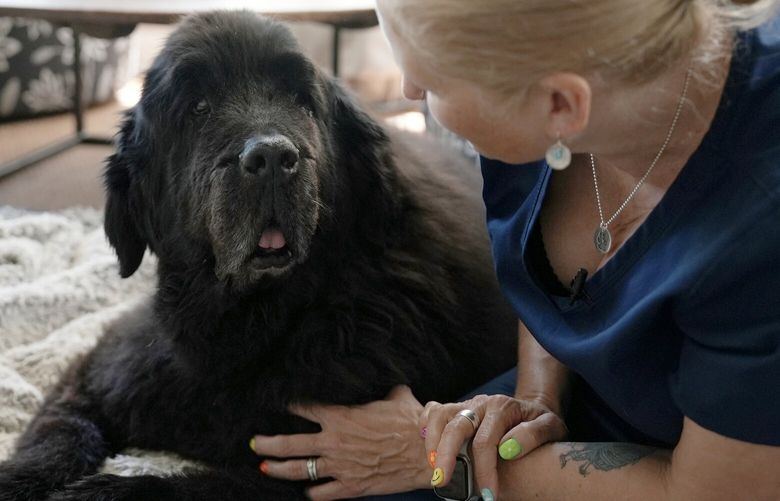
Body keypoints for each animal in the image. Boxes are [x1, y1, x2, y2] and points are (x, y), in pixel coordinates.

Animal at [0, 11, 516, 500]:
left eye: (301, 102)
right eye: (198, 108)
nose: (270, 157)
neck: (248, 322)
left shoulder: (309, 471)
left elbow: (180, 487)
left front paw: (101, 490)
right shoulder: (99, 371)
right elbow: (60, 432)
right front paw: (21, 479)